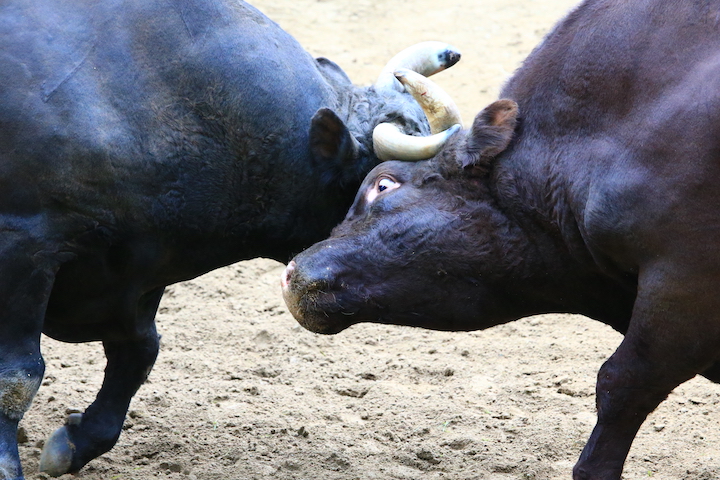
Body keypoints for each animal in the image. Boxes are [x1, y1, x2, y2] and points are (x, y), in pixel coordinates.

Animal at [0, 0, 462, 480]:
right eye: (383, 184)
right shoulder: (25, 247)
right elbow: (17, 375)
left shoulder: (139, 273)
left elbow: (138, 353)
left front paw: (77, 441)